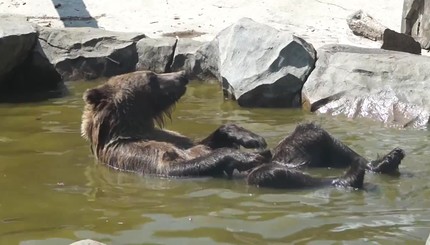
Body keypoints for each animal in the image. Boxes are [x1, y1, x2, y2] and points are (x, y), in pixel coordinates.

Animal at [81, 71, 406, 189]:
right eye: (151, 77)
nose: (182, 75)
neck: (136, 127)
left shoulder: (175, 137)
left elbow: (204, 141)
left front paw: (250, 139)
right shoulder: (132, 154)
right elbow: (175, 165)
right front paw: (243, 155)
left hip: (297, 148)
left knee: (313, 134)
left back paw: (385, 160)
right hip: (272, 173)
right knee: (273, 174)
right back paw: (350, 176)